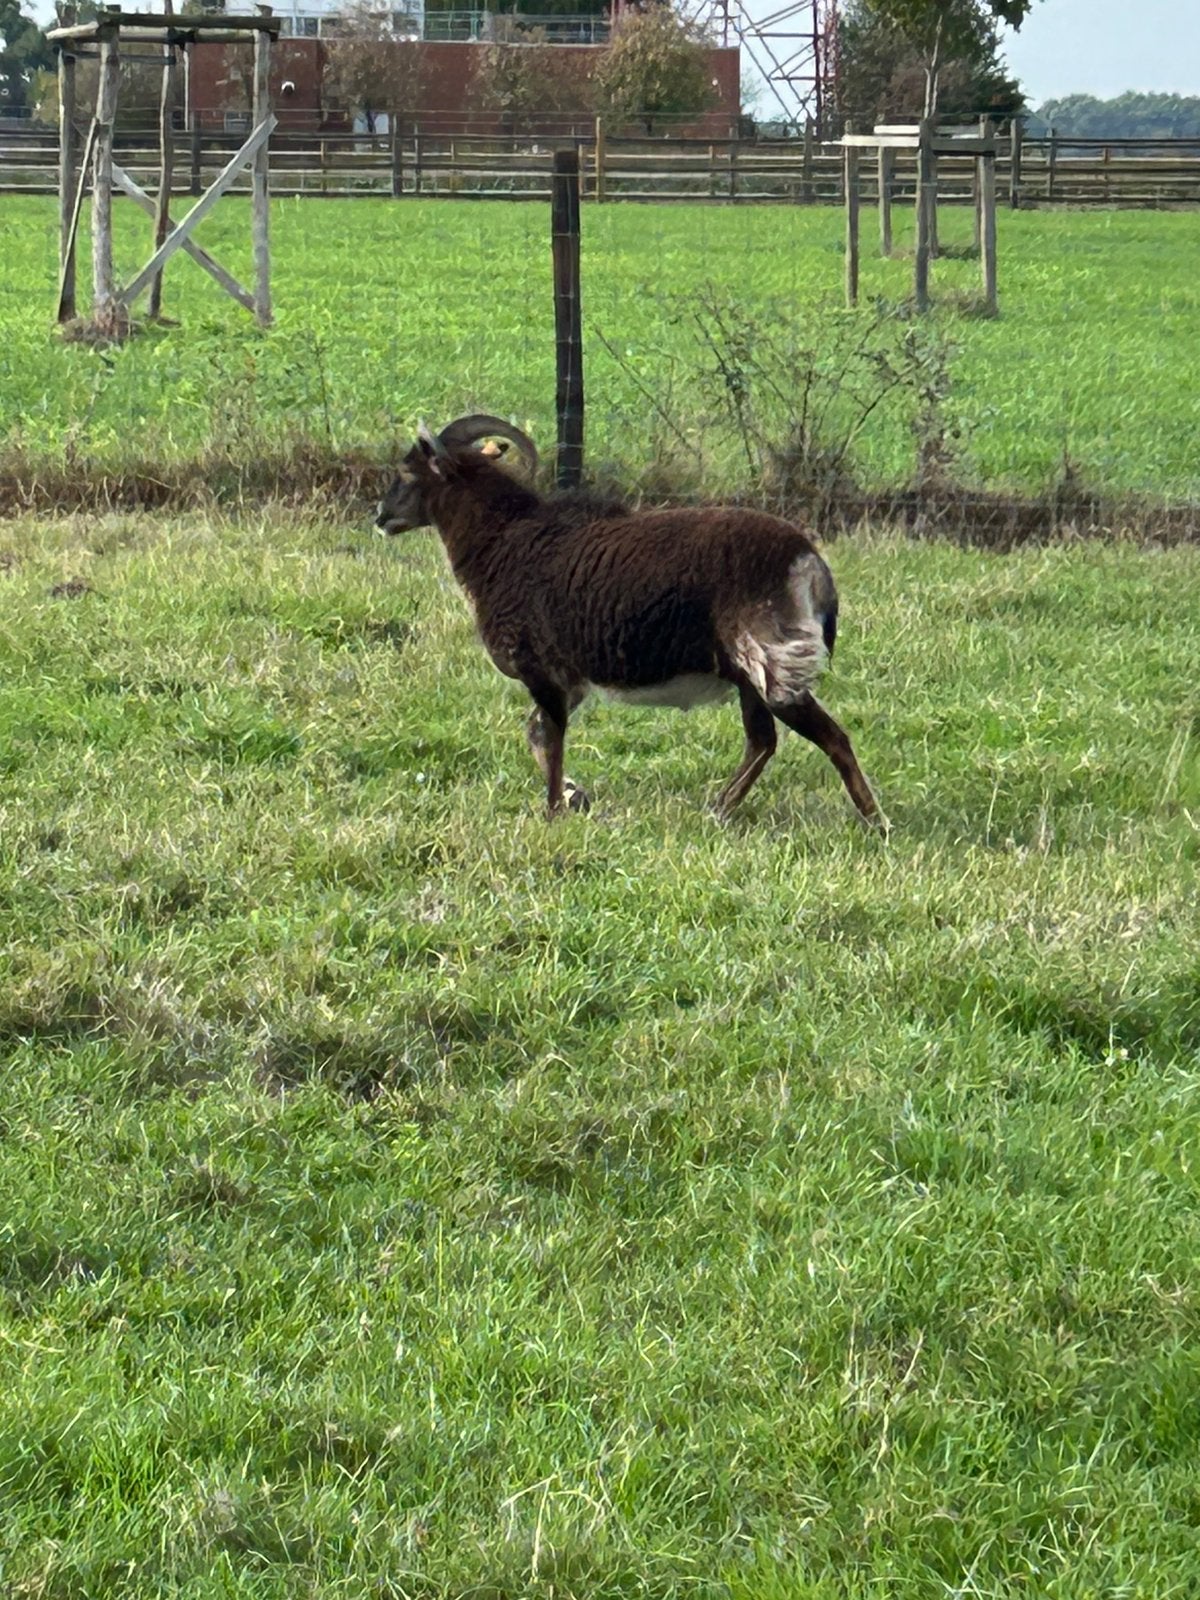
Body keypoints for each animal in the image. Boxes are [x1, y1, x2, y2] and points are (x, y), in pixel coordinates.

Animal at [376, 413, 882, 827]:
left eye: (407, 472)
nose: (380, 517)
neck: (500, 544)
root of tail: (808, 563)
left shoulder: (542, 670)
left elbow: (550, 738)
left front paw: (553, 811)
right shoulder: (571, 679)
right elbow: (536, 734)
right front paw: (576, 796)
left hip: (775, 663)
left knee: (831, 738)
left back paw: (876, 824)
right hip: (748, 675)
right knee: (763, 741)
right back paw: (717, 811)